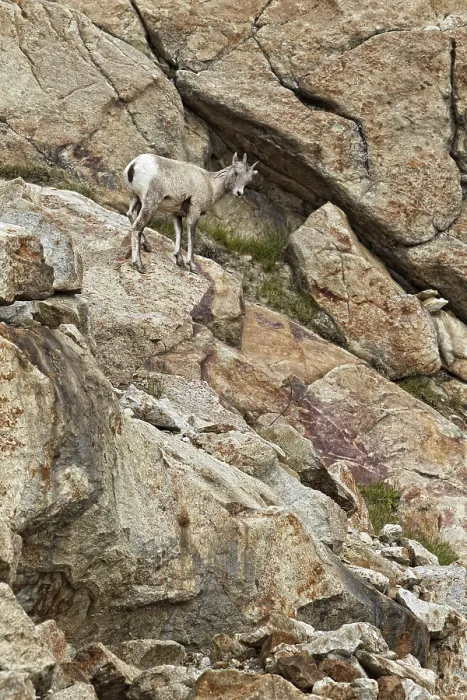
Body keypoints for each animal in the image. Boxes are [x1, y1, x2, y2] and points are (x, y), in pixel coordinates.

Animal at [123, 152, 258, 273]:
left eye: (248, 180)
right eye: (236, 173)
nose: (239, 193)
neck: (211, 184)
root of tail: (135, 164)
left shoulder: (176, 214)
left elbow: (179, 231)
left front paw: (179, 260)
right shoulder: (194, 212)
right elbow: (191, 235)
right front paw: (192, 266)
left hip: (136, 198)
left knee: (130, 214)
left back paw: (147, 246)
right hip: (150, 204)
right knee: (137, 227)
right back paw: (139, 265)